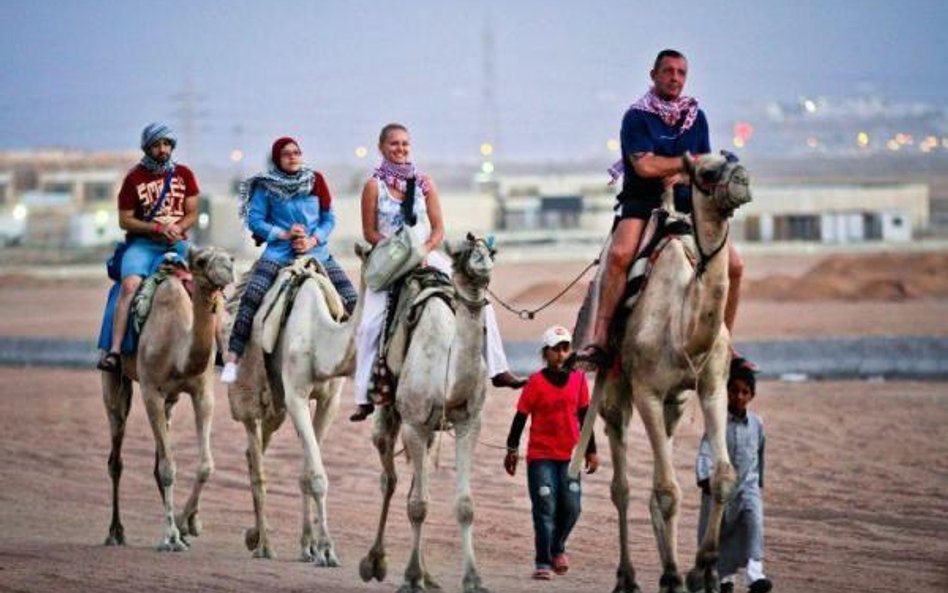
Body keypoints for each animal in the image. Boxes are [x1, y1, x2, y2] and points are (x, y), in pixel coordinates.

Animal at [103, 245, 235, 552]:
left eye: (230, 257)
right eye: (201, 261)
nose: (227, 268)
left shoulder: (202, 391)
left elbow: (205, 465)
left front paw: (186, 525)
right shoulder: (151, 391)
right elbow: (167, 468)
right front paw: (169, 538)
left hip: (171, 401)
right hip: (114, 381)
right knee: (116, 458)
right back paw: (115, 532)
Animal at [224, 260, 364, 564]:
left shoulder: (330, 399)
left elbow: (307, 473)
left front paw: (310, 546)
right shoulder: (296, 396)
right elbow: (317, 475)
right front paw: (327, 550)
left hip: (275, 407)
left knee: (254, 452)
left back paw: (254, 536)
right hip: (252, 397)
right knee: (256, 461)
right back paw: (264, 546)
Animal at [360, 234, 496, 592]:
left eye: (492, 250)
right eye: (461, 253)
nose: (482, 262)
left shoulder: (468, 423)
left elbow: (464, 506)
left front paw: (473, 579)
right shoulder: (413, 424)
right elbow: (418, 506)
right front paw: (410, 578)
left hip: (432, 430)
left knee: (412, 485)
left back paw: (429, 574)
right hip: (390, 413)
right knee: (389, 477)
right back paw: (375, 562)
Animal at [572, 153, 756, 592]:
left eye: (734, 159)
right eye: (706, 171)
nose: (743, 180)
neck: (684, 327)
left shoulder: (711, 388)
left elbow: (722, 476)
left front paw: (703, 570)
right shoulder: (648, 393)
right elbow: (667, 490)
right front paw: (674, 573)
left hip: (676, 403)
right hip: (615, 389)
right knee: (622, 486)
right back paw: (628, 577)